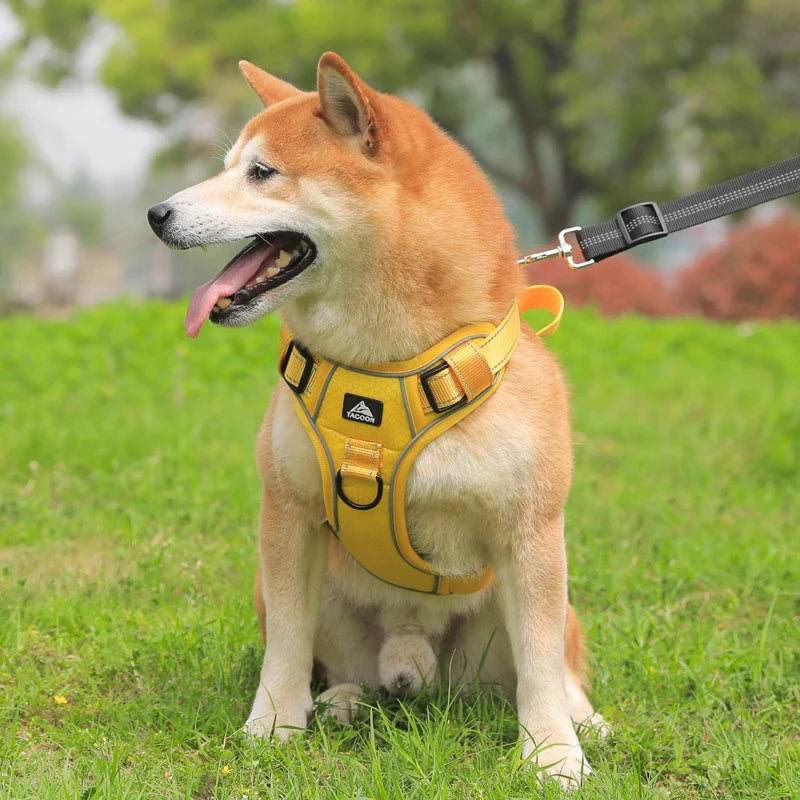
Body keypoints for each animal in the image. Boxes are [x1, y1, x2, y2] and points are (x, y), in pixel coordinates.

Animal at [147, 54, 604, 788]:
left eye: (261, 172)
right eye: (227, 166)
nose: (156, 213)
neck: (384, 369)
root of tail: (412, 658)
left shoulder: (530, 529)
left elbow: (539, 666)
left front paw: (555, 754)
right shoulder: (290, 512)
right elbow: (286, 645)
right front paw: (272, 726)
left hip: (541, 601)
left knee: (555, 663)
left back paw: (583, 717)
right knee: (338, 666)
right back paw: (338, 700)